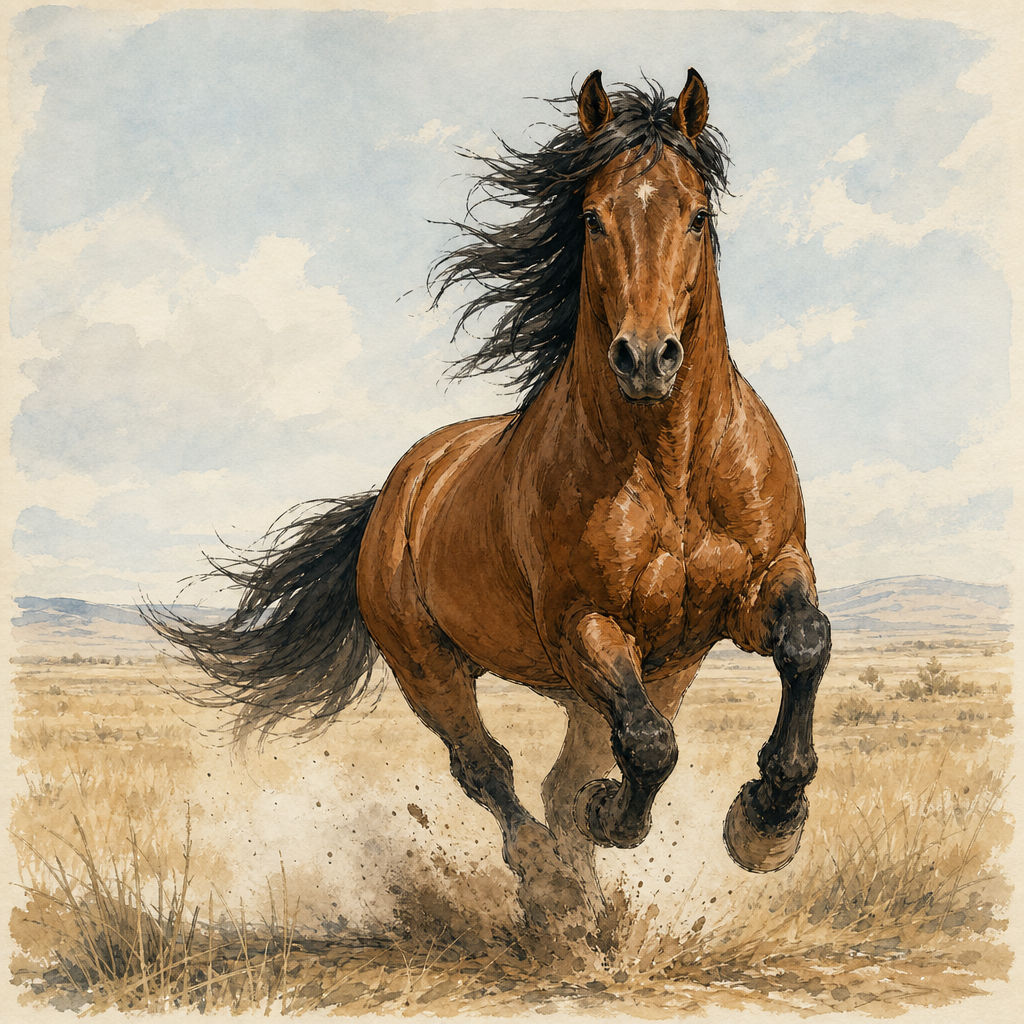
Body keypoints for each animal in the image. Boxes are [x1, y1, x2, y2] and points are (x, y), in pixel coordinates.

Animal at [147, 69, 831, 926]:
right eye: (593, 219)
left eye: (697, 215)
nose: (646, 359)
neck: (670, 464)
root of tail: (399, 488)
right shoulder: (586, 627)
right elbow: (646, 750)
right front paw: (618, 819)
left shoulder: (755, 587)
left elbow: (805, 644)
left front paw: (769, 822)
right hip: (432, 670)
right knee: (492, 771)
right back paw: (551, 884)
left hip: (651, 670)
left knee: (564, 770)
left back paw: (587, 899)